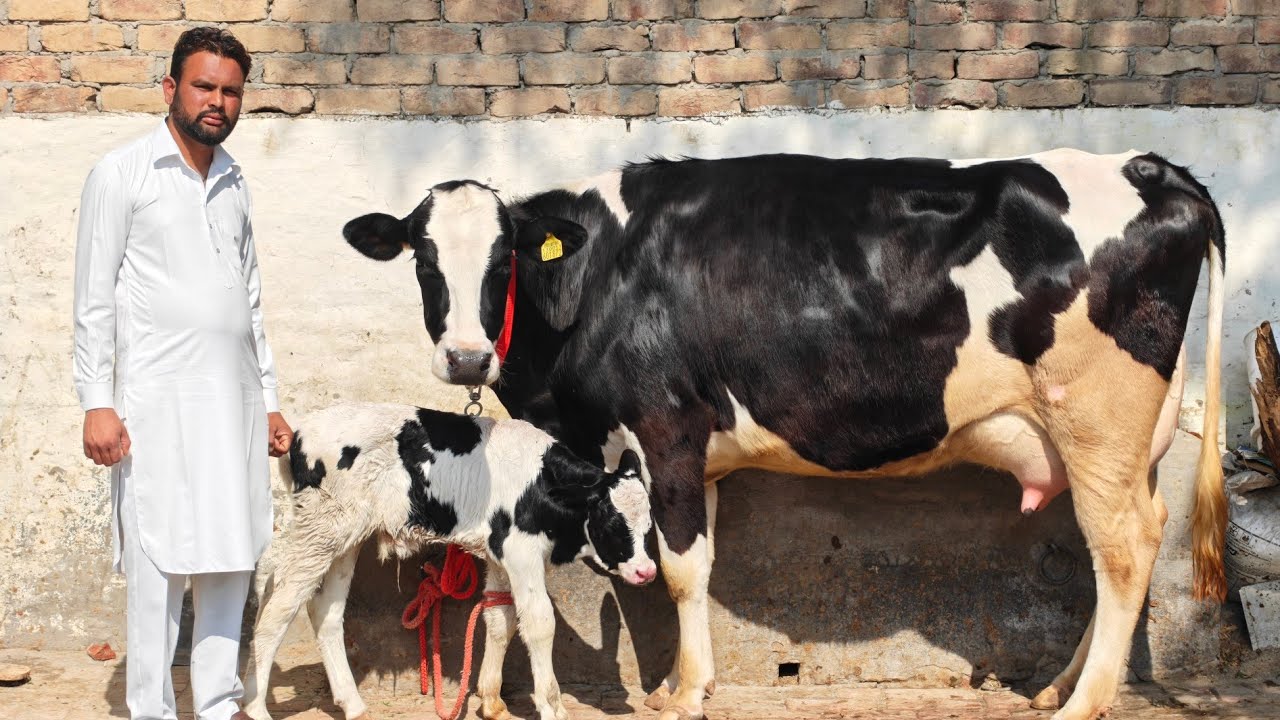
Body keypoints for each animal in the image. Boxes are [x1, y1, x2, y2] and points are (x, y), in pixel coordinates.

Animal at [242, 403, 656, 720]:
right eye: (612, 522)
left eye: (648, 525)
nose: (647, 571)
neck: (541, 484)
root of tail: (301, 430)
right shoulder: (521, 553)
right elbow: (539, 623)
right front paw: (553, 708)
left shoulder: (499, 557)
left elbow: (499, 620)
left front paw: (492, 702)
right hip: (319, 531)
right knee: (276, 607)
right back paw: (255, 708)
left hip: (344, 537)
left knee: (324, 610)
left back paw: (353, 704)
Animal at [342, 149, 1226, 720]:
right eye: (423, 260)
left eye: (503, 262)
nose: (465, 356)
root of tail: (1150, 166)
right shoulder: (685, 456)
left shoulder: (667, 429)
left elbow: (682, 569)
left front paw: (684, 693)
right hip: (1121, 443)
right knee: (1124, 546)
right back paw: (1060, 687)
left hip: (1098, 417)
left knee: (1124, 551)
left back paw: (1082, 705)